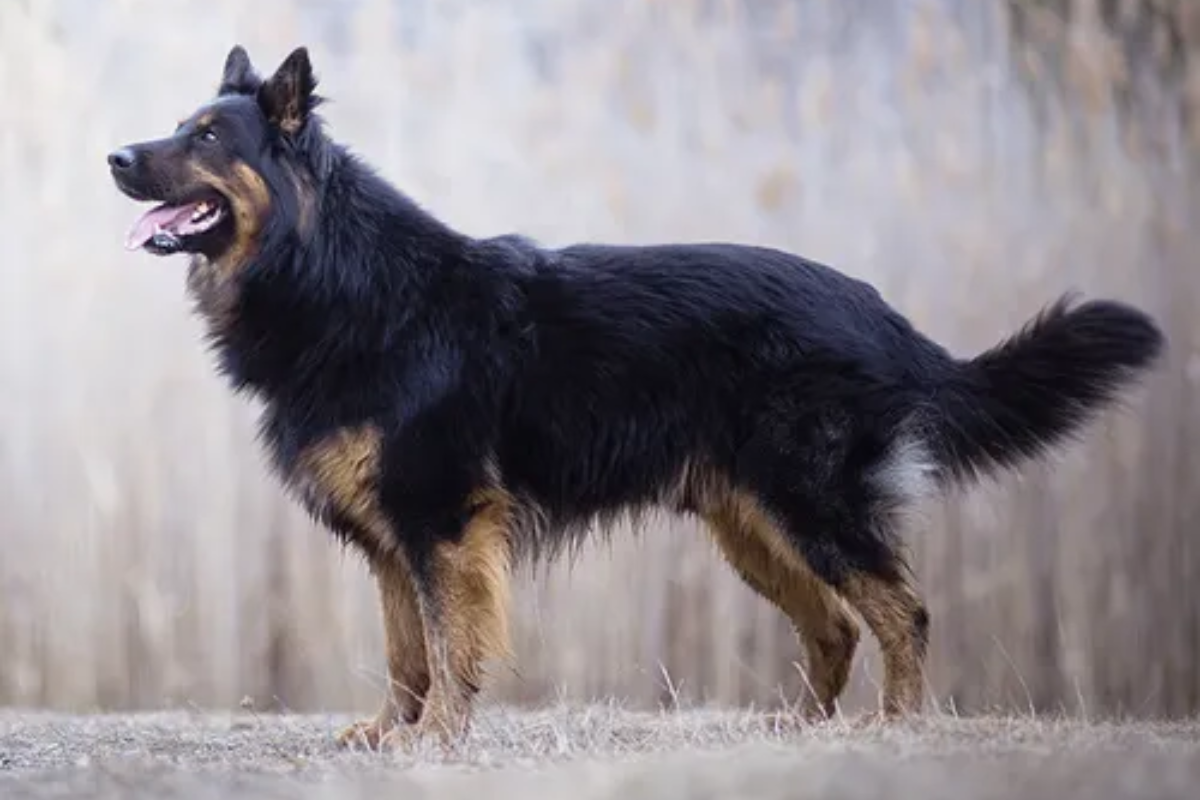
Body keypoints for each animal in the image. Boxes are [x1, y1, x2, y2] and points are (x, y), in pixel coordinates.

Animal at [110, 42, 1161, 743]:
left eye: (207, 135)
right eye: (180, 126)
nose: (116, 157)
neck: (337, 274)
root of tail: (884, 315)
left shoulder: (442, 519)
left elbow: (450, 643)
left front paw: (438, 739)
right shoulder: (392, 538)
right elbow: (408, 647)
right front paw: (390, 734)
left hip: (810, 504)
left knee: (904, 612)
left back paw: (892, 730)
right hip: (754, 526)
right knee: (833, 625)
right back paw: (798, 730)